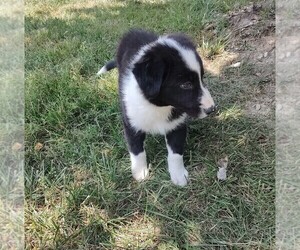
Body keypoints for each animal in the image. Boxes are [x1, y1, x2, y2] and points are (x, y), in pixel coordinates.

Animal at [97, 29, 214, 186]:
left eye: (202, 78)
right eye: (186, 84)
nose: (212, 109)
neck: (157, 106)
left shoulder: (177, 124)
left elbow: (176, 153)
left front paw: (178, 176)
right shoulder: (131, 123)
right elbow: (136, 150)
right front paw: (140, 173)